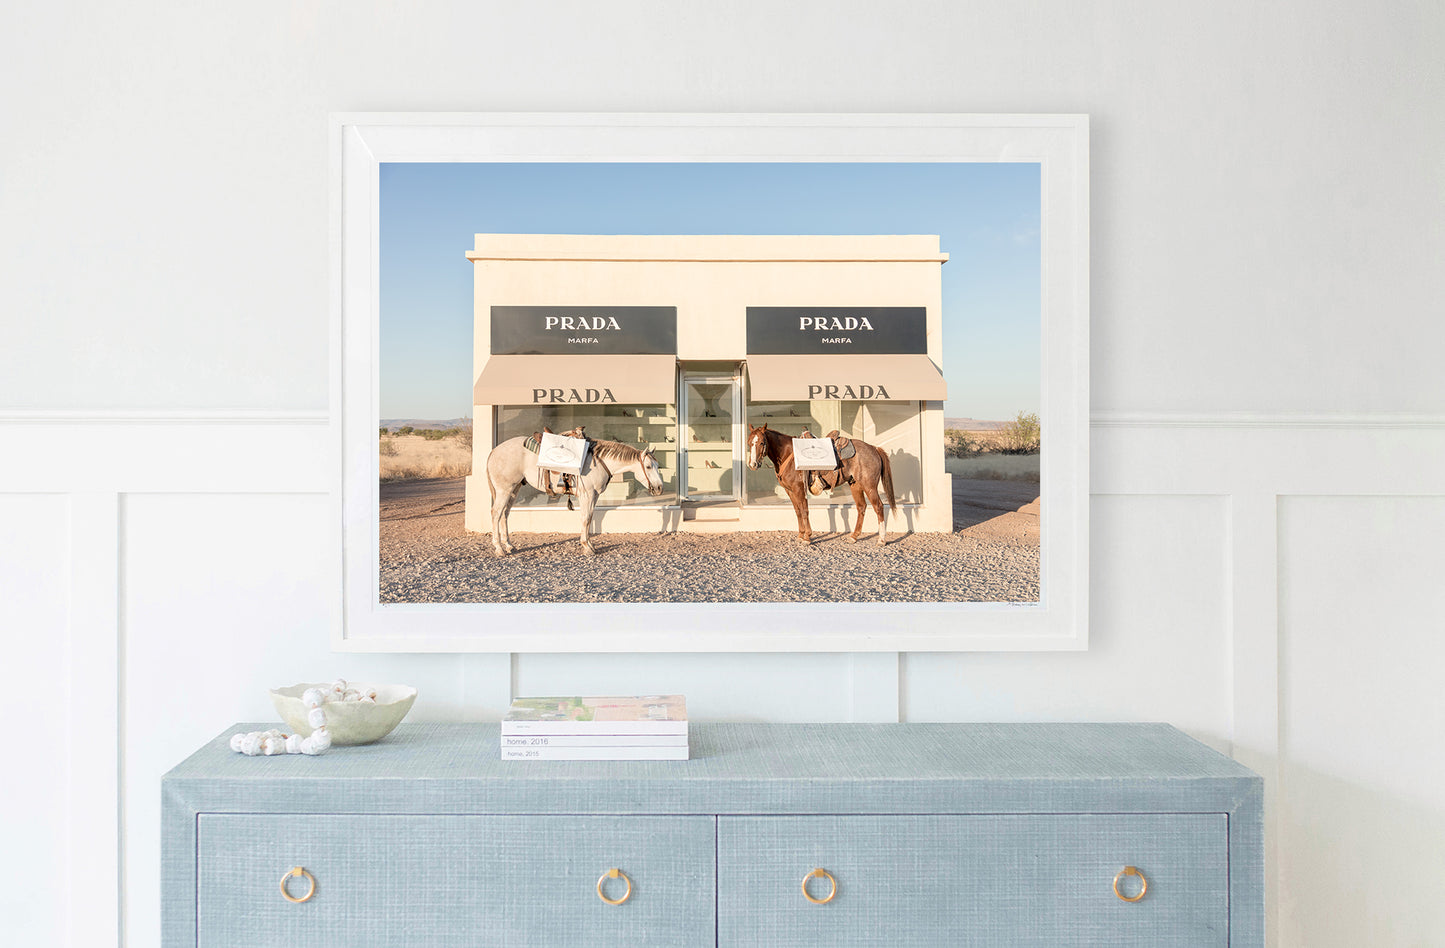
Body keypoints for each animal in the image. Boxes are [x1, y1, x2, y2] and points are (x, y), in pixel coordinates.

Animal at [485, 436, 664, 554]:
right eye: (649, 466)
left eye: (657, 464)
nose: (659, 487)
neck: (598, 461)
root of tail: (494, 451)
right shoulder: (587, 494)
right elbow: (585, 519)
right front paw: (586, 546)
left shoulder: (594, 496)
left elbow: (589, 518)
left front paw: (590, 545)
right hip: (504, 489)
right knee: (495, 513)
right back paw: (499, 548)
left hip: (514, 489)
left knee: (504, 514)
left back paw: (509, 545)